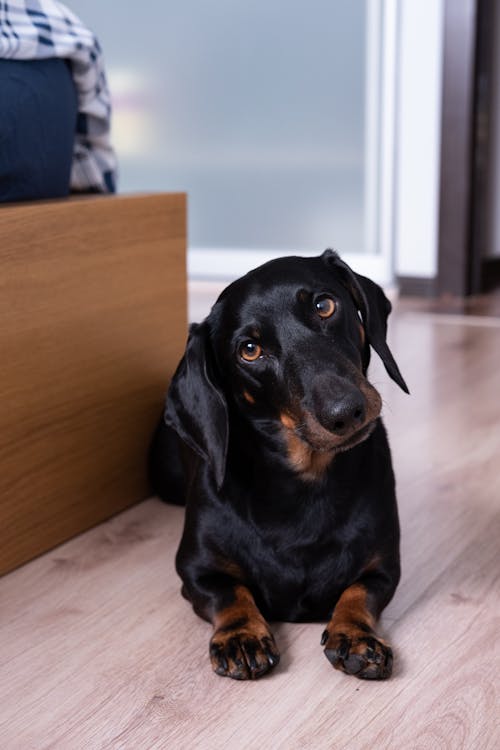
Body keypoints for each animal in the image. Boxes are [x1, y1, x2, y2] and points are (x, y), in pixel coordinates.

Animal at [150, 251, 408, 680]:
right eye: (250, 349)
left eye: (324, 305)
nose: (345, 412)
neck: (303, 482)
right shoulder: (195, 570)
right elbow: (230, 592)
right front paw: (241, 636)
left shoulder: (384, 567)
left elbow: (359, 592)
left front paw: (355, 635)